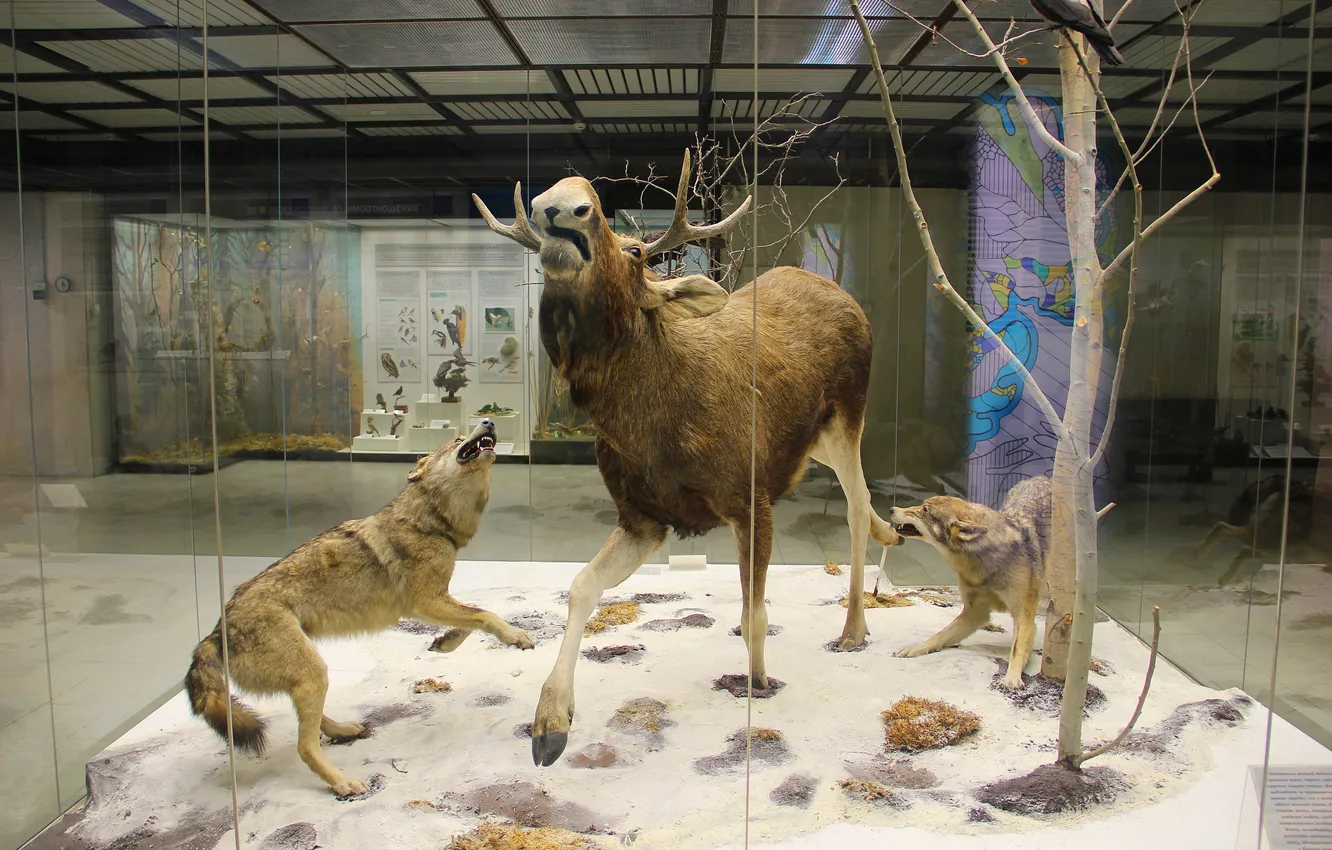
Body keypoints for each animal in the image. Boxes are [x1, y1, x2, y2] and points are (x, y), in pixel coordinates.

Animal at [184, 420, 533, 796]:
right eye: (456, 439)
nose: (490, 422)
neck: (428, 523)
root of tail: (216, 631)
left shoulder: (433, 601)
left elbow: (471, 621)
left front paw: (446, 643)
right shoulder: (426, 602)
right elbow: (485, 614)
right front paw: (515, 636)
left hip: (307, 675)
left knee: (309, 724)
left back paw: (342, 730)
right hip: (314, 672)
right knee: (304, 745)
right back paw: (343, 783)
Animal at [473, 151, 900, 767]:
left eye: (635, 252)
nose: (560, 204)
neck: (651, 426)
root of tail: (846, 298)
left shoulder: (751, 499)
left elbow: (755, 612)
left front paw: (759, 682)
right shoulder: (644, 518)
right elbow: (581, 587)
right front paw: (550, 719)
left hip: (848, 418)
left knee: (858, 504)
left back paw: (853, 628)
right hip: (814, 441)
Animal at [888, 476, 1051, 690]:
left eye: (925, 510)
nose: (891, 509)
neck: (983, 564)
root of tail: (1040, 478)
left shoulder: (1023, 615)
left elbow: (1017, 649)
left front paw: (1012, 678)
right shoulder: (974, 613)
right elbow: (940, 635)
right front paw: (916, 648)